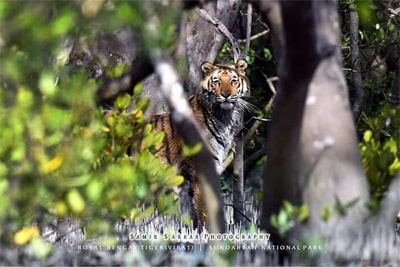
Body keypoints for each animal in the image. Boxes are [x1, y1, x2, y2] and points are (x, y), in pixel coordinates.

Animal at [152, 59, 252, 227]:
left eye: (233, 81)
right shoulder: (200, 173)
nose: (226, 94)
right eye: (217, 81)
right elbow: (205, 210)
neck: (224, 118)